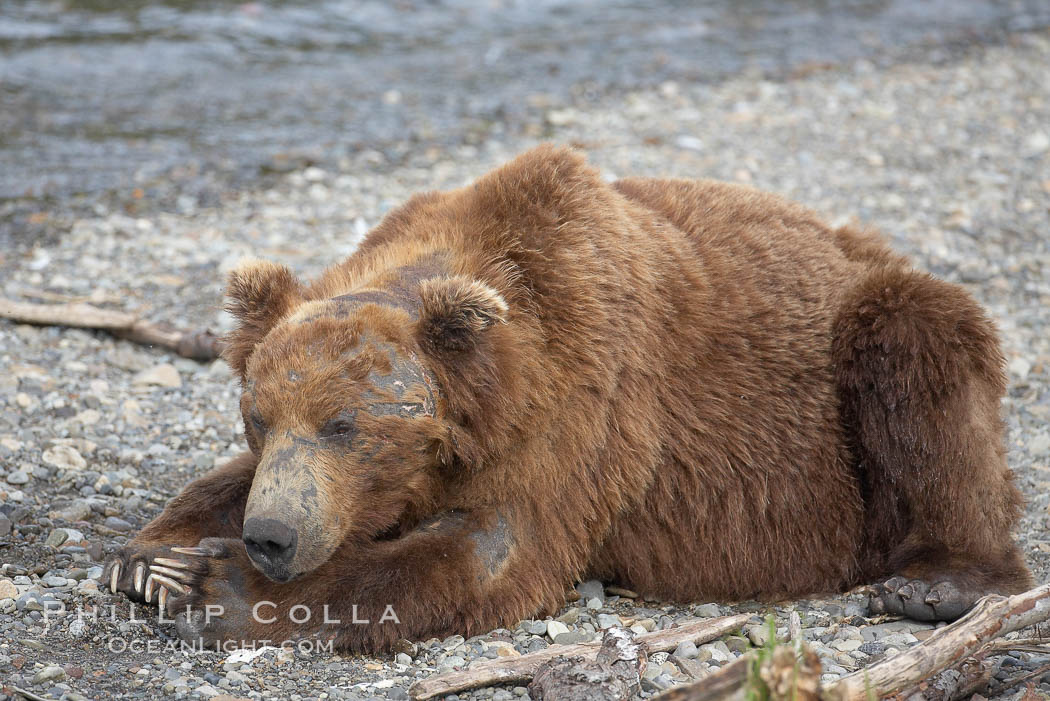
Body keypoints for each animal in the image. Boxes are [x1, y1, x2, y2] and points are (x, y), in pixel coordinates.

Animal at [103, 144, 1032, 652]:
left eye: (345, 424)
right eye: (257, 418)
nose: (272, 534)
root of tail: (869, 244)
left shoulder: (585, 409)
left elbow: (490, 550)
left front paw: (214, 586)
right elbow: (215, 485)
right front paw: (150, 557)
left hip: (851, 373)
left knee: (921, 350)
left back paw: (939, 582)